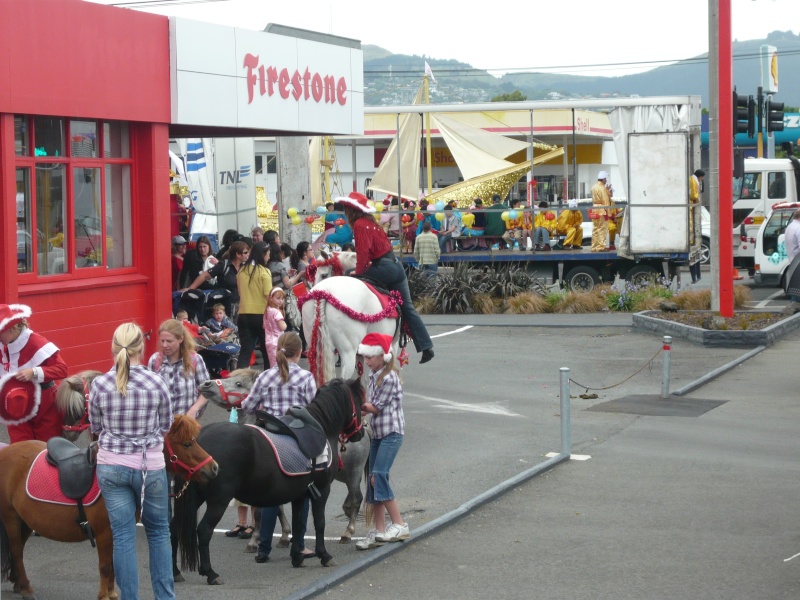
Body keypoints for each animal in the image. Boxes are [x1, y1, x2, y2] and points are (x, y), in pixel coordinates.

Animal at [0, 414, 219, 600]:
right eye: (188, 443)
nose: (214, 467)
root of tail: (6, 451)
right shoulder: (105, 532)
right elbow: (106, 566)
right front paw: (104, 595)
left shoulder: (118, 530)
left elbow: (115, 563)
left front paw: (112, 593)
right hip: (11, 518)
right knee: (17, 551)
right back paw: (26, 588)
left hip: (25, 520)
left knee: (18, 551)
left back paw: (18, 583)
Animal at [175, 378, 366, 584]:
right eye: (359, 401)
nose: (361, 433)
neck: (321, 428)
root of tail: (198, 438)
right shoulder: (322, 490)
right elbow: (319, 522)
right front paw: (324, 555)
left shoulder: (300, 495)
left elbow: (297, 524)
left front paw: (297, 557)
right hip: (218, 500)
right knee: (203, 531)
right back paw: (211, 573)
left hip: (196, 497)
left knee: (173, 526)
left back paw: (176, 572)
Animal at [300, 251, 400, 386]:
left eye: (323, 274)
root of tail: (323, 292)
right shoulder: (392, 346)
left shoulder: (363, 352)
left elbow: (363, 380)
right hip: (348, 352)